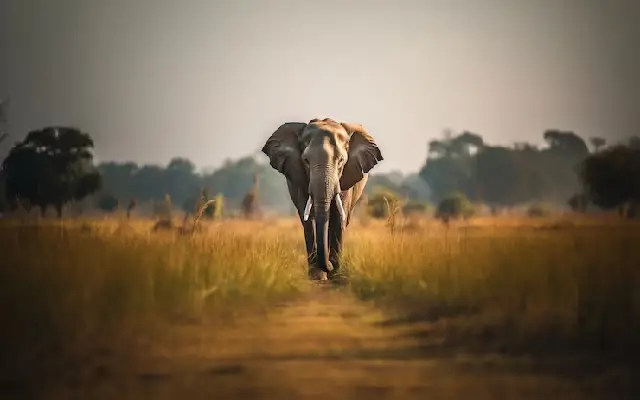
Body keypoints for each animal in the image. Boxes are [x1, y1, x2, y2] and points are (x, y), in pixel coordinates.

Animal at [261, 118, 384, 280]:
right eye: (306, 161)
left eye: (341, 161)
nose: (329, 266)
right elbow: (309, 219)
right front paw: (317, 276)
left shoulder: (346, 178)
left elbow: (338, 217)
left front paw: (335, 274)